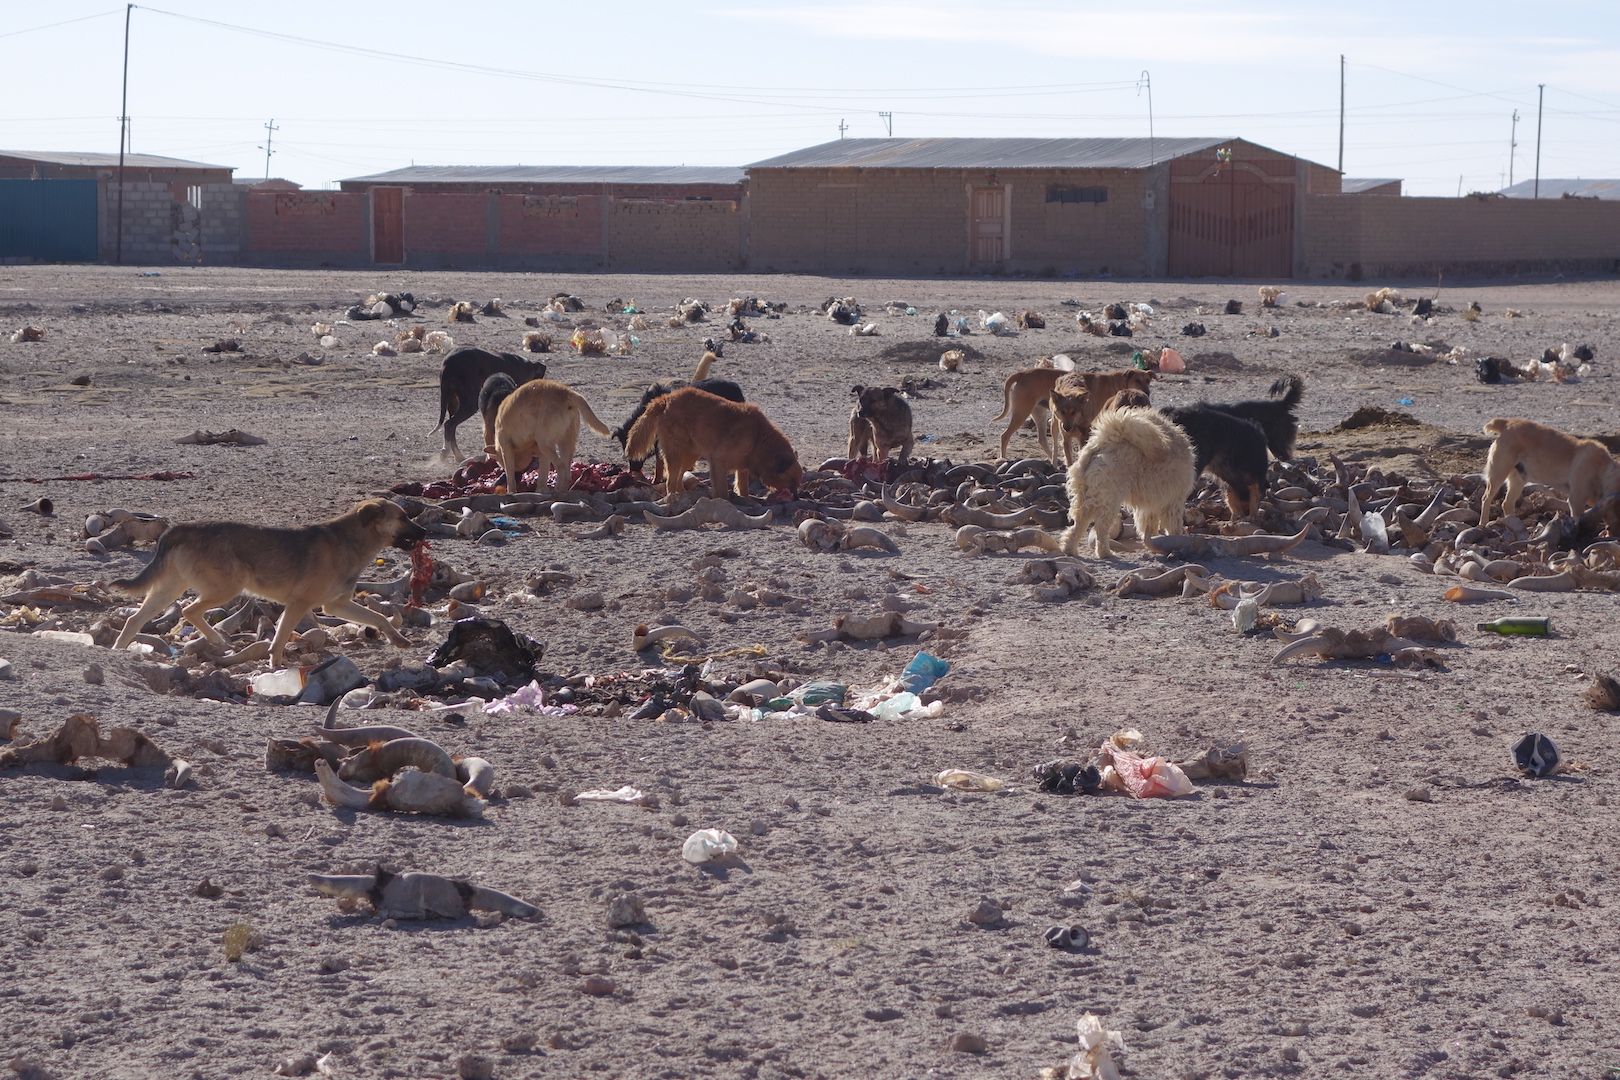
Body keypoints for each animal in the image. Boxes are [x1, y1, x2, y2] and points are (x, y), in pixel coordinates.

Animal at [108, 498, 424, 667]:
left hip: (169, 590)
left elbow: (378, 618)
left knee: (135, 620)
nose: (424, 531)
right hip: (227, 588)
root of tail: (182, 527)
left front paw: (398, 639)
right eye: (403, 517)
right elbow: (280, 639)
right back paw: (216, 640)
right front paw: (276, 667)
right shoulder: (301, 604)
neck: (351, 541)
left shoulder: (336, 605)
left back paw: (116, 651)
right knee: (189, 611)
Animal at [622, 386, 800, 501]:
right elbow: (722, 492)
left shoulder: (742, 468)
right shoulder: (719, 463)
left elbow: (743, 487)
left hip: (690, 455)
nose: (797, 498)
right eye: (791, 481)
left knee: (678, 478)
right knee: (670, 482)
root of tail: (666, 399)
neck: (758, 437)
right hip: (677, 454)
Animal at [1056, 404, 1198, 557]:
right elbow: (1173, 526)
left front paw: (1154, 541)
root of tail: (1101, 444)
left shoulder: (1150, 504)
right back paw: (1105, 553)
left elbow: (1150, 526)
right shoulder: (1173, 500)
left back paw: (1070, 549)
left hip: (1086, 495)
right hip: (1109, 499)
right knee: (1101, 528)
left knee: (1079, 524)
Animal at [1483, 417, 1620, 524]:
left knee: (1507, 504)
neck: (1602, 469)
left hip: (1518, 479)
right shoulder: (1576, 502)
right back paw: (1483, 524)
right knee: (1486, 499)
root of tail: (1507, 423)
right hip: (1498, 475)